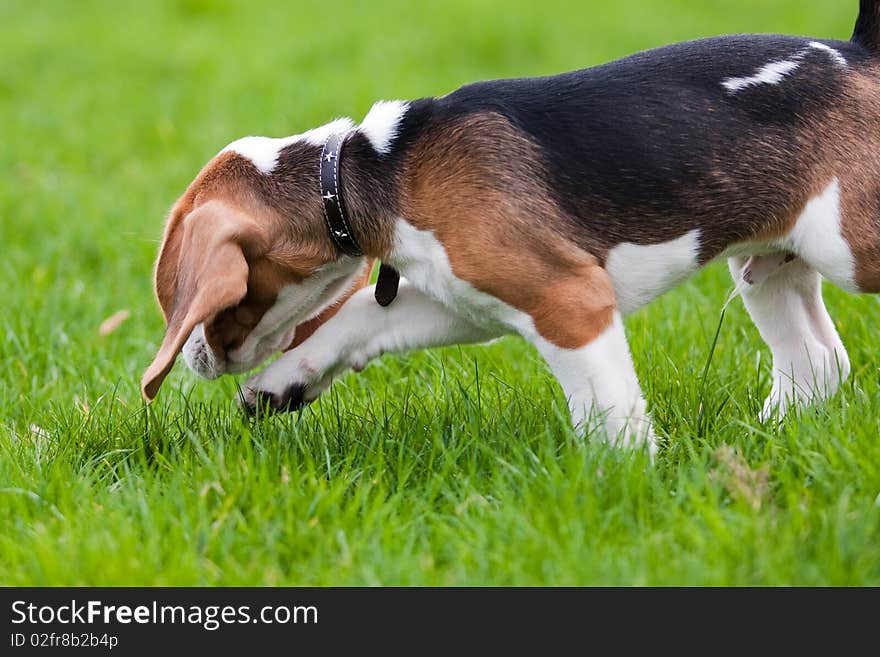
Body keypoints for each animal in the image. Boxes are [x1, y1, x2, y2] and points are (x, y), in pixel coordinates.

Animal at [141, 0, 880, 454]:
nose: (196, 359)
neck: (361, 170)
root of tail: (857, 52)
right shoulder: (460, 297)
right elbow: (356, 321)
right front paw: (281, 384)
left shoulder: (568, 299)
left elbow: (609, 411)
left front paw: (624, 483)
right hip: (770, 265)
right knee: (818, 362)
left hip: (850, 247)